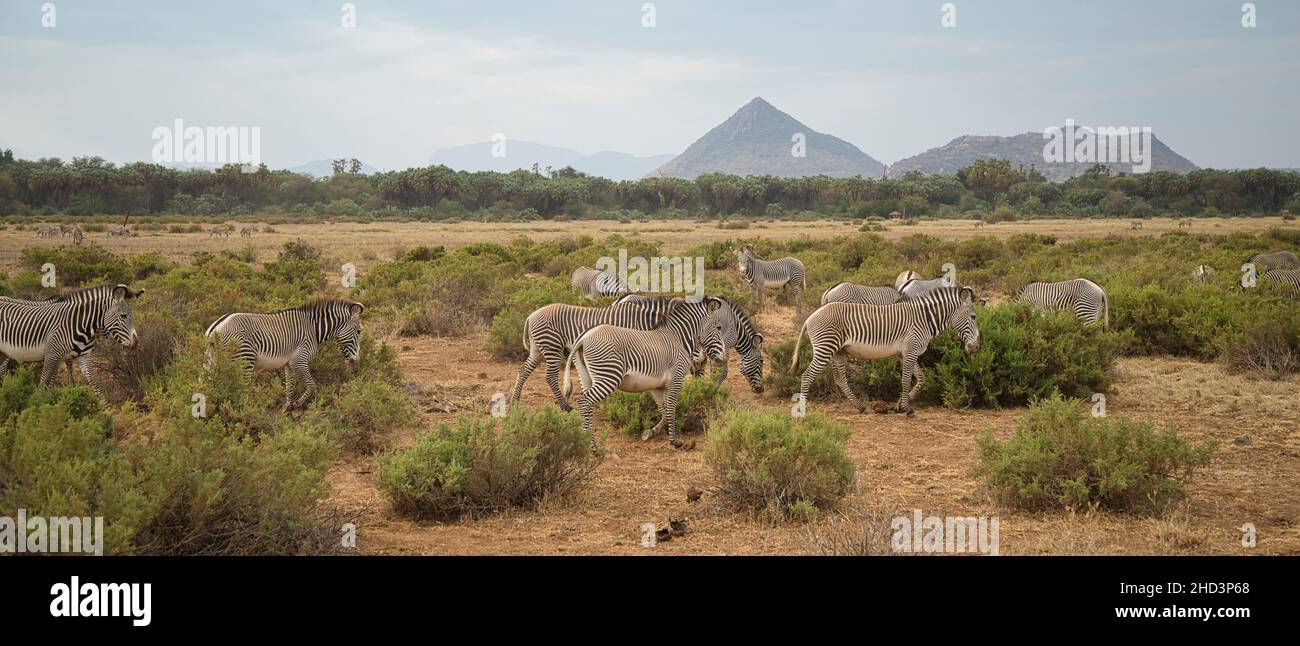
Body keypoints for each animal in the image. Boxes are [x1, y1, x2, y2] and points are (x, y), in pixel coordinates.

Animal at [0, 283, 143, 397]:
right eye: (123, 316)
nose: (136, 342)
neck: (79, 324)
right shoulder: (52, 355)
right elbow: (45, 384)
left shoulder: (77, 356)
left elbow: (95, 385)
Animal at [204, 297, 364, 408]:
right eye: (359, 331)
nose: (356, 361)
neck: (313, 329)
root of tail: (215, 328)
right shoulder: (299, 360)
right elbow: (312, 385)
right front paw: (298, 404)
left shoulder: (289, 364)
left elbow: (289, 386)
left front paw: (288, 407)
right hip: (245, 360)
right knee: (242, 388)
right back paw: (247, 410)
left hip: (211, 361)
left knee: (208, 384)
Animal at [561, 296, 733, 447]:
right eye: (718, 328)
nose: (723, 359)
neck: (678, 339)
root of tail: (584, 337)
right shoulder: (676, 379)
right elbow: (672, 407)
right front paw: (675, 441)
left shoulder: (656, 386)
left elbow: (664, 409)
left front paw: (651, 432)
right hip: (608, 376)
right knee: (584, 401)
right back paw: (591, 447)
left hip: (586, 377)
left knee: (587, 405)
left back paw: (587, 443)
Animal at [785, 284, 977, 415]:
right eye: (974, 317)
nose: (976, 346)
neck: (924, 320)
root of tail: (811, 317)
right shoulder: (911, 350)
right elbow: (906, 380)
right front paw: (906, 409)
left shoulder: (905, 353)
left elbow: (921, 379)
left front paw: (900, 405)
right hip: (825, 348)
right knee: (807, 376)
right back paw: (802, 410)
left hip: (838, 351)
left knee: (840, 379)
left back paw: (860, 407)